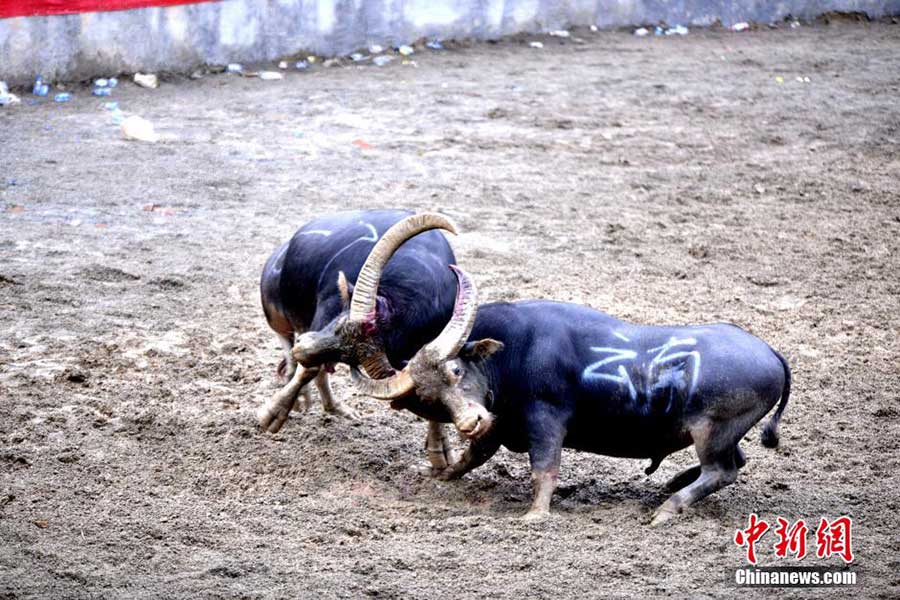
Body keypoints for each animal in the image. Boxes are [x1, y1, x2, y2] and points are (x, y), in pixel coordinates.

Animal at [352, 268, 788, 524]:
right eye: (428, 398)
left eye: (455, 370)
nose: (469, 421)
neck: (514, 354)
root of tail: (771, 354)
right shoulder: (498, 426)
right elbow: (470, 458)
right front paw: (439, 474)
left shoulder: (545, 421)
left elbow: (544, 468)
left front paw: (536, 515)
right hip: (720, 434)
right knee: (735, 463)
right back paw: (671, 486)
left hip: (710, 432)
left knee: (722, 471)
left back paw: (668, 507)